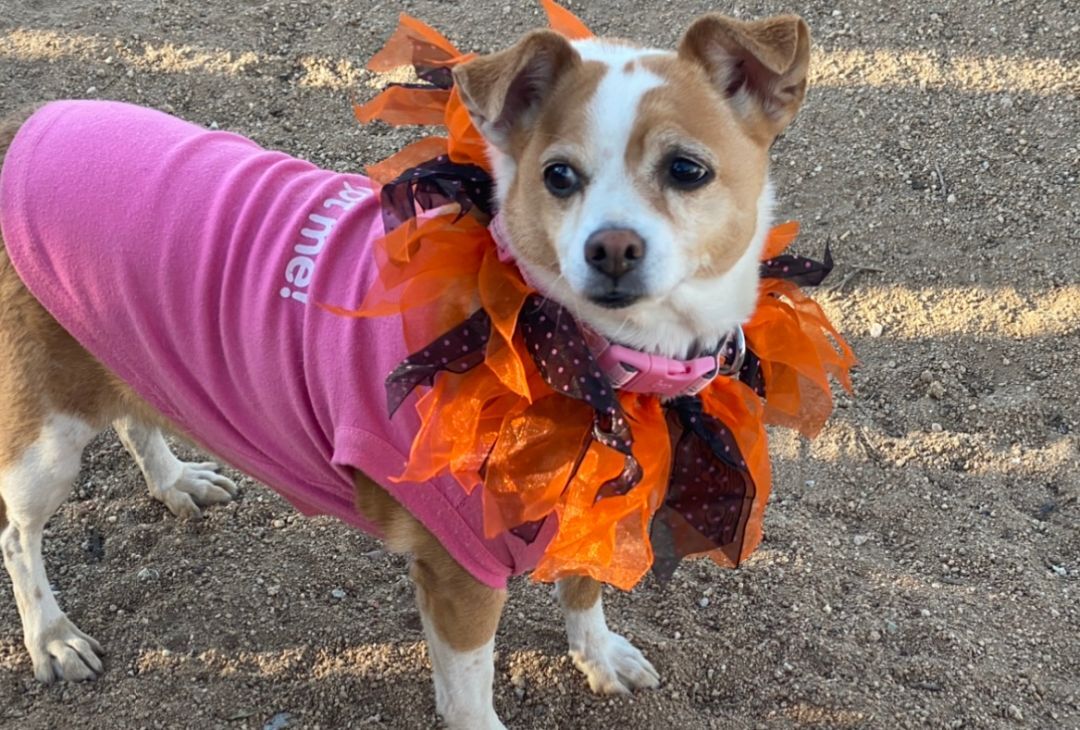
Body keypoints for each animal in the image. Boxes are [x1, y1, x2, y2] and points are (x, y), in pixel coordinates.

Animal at [0, 12, 812, 730]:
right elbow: (469, 697)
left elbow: (585, 586)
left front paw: (600, 654)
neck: (586, 364)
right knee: (18, 533)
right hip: (45, 442)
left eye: (687, 169)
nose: (611, 247)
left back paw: (175, 483)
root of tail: (22, 128)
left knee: (133, 417)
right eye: (558, 175)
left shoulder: (595, 494)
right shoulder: (460, 578)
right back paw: (53, 638)